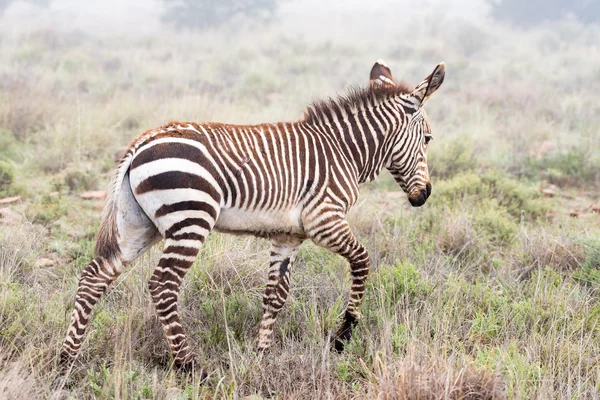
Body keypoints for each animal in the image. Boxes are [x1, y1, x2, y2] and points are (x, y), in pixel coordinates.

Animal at [59, 59, 446, 372]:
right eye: (428, 139)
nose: (424, 196)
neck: (344, 151)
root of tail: (142, 142)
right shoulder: (325, 220)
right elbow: (363, 262)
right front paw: (343, 334)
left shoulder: (288, 235)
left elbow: (275, 293)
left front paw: (262, 354)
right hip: (190, 218)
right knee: (163, 285)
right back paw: (188, 365)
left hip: (138, 225)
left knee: (94, 277)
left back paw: (66, 360)